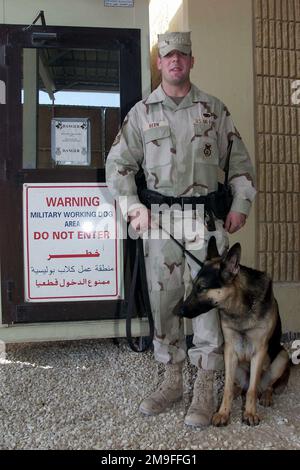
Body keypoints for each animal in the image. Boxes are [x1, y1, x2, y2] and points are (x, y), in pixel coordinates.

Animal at [179, 239, 290, 426]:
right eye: (193, 287)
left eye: (201, 288)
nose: (178, 311)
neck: (240, 307)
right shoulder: (229, 349)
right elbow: (228, 388)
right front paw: (223, 412)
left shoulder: (260, 350)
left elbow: (252, 390)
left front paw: (250, 413)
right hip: (231, 363)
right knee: (238, 386)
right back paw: (239, 392)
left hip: (282, 357)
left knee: (262, 387)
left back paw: (266, 396)